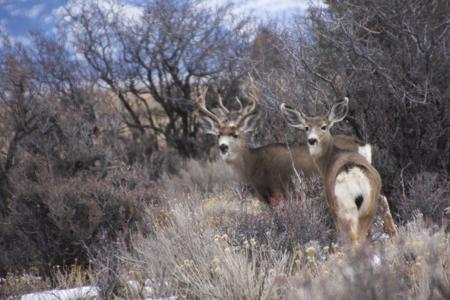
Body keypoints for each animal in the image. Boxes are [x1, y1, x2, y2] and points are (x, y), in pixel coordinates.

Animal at [195, 83, 370, 207]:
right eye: (218, 135)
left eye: (235, 134)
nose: (223, 147)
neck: (253, 165)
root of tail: (362, 144)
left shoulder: (278, 192)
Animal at [282, 98, 398, 244]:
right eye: (306, 128)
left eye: (324, 126)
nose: (312, 140)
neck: (330, 158)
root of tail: (353, 176)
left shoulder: (331, 203)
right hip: (369, 205)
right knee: (382, 204)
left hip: (344, 207)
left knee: (354, 237)